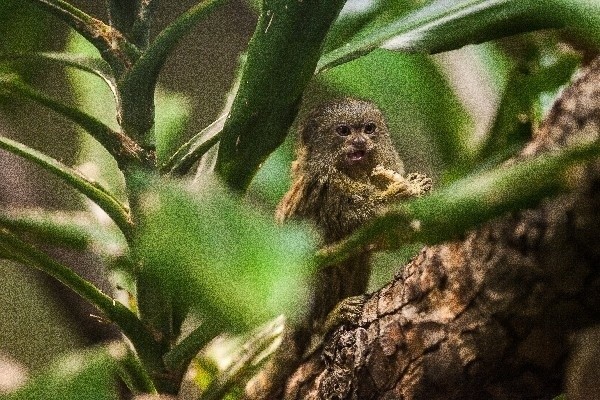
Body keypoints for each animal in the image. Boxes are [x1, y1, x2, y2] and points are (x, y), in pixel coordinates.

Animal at [247, 97, 432, 400]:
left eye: (369, 129)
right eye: (344, 131)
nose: (359, 142)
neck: (352, 174)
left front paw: (419, 186)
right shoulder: (331, 193)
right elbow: (371, 223)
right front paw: (403, 192)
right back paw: (329, 319)